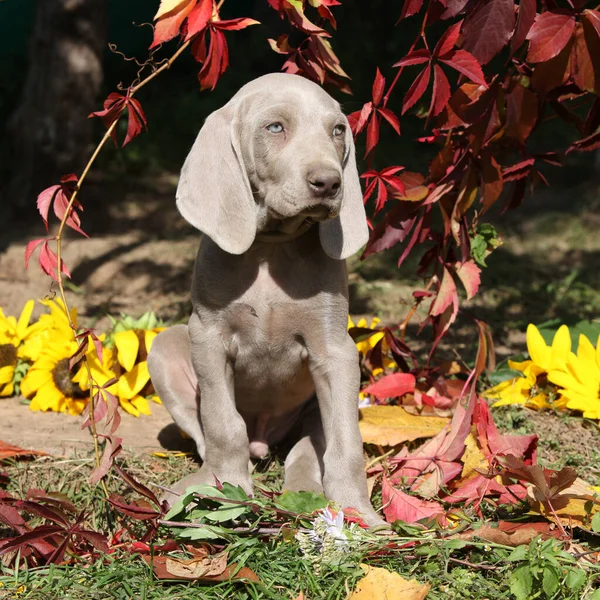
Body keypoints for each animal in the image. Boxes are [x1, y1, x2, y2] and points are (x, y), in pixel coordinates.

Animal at [149, 71, 382, 524]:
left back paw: (305, 492)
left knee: (306, 451)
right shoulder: (208, 336)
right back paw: (197, 483)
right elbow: (222, 424)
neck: (273, 246)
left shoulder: (336, 350)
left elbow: (347, 445)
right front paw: (227, 488)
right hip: (165, 346)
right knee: (207, 432)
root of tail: (265, 437)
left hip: (313, 410)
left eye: (337, 131)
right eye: (275, 127)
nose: (330, 183)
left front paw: (358, 511)